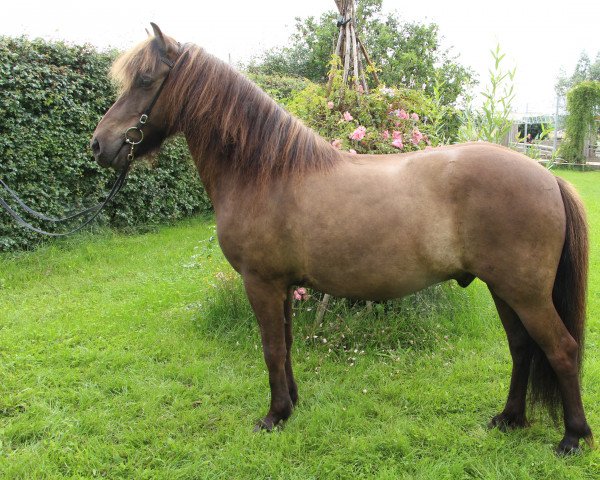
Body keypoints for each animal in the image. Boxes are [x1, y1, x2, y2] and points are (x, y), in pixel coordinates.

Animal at [91, 23, 592, 454]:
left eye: (146, 79)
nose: (99, 144)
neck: (265, 173)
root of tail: (548, 178)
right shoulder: (282, 287)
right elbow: (286, 346)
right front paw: (291, 405)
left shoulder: (261, 283)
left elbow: (271, 349)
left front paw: (273, 416)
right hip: (505, 290)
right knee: (523, 349)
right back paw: (509, 419)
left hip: (525, 293)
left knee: (562, 350)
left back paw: (573, 437)